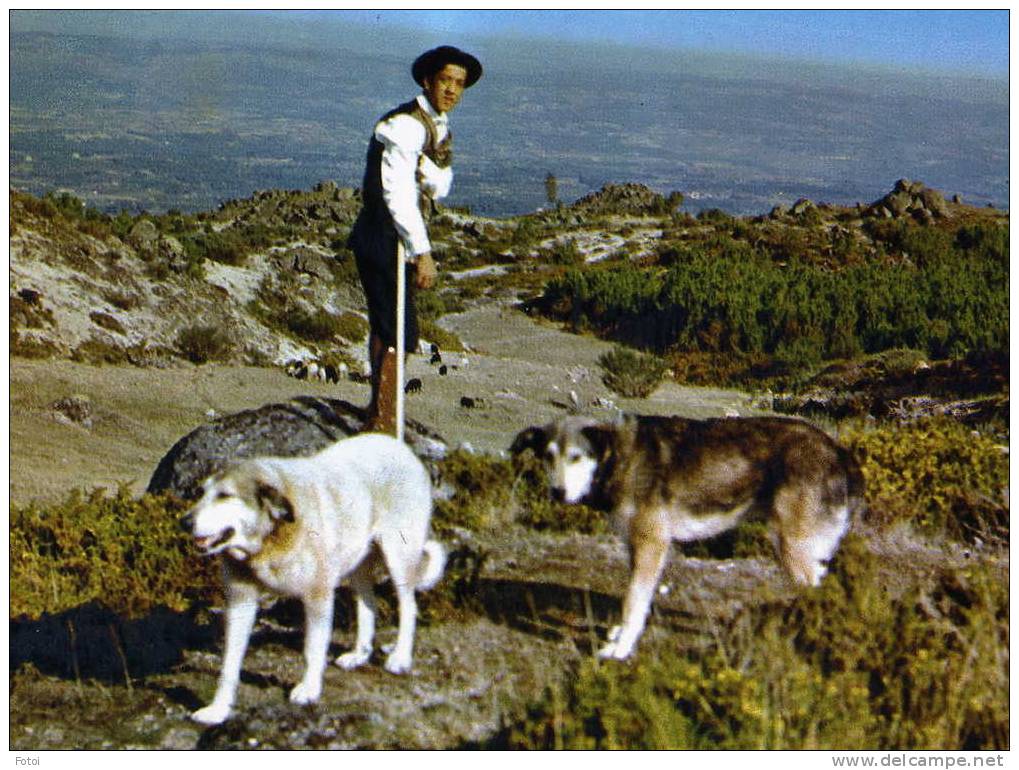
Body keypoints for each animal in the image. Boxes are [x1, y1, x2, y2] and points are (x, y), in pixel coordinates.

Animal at [181, 433, 444, 729]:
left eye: (225, 496)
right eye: (202, 493)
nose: (184, 522)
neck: (271, 538)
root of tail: (394, 442)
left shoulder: (317, 597)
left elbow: (312, 649)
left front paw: (308, 689)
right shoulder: (240, 603)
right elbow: (228, 664)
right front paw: (218, 710)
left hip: (398, 558)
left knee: (408, 607)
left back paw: (400, 658)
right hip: (358, 567)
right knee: (368, 605)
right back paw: (360, 654)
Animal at [513, 415, 864, 660]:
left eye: (576, 457)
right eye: (548, 456)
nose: (557, 493)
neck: (619, 459)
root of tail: (838, 451)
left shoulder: (651, 545)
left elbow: (632, 602)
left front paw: (621, 648)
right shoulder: (635, 547)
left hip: (793, 549)